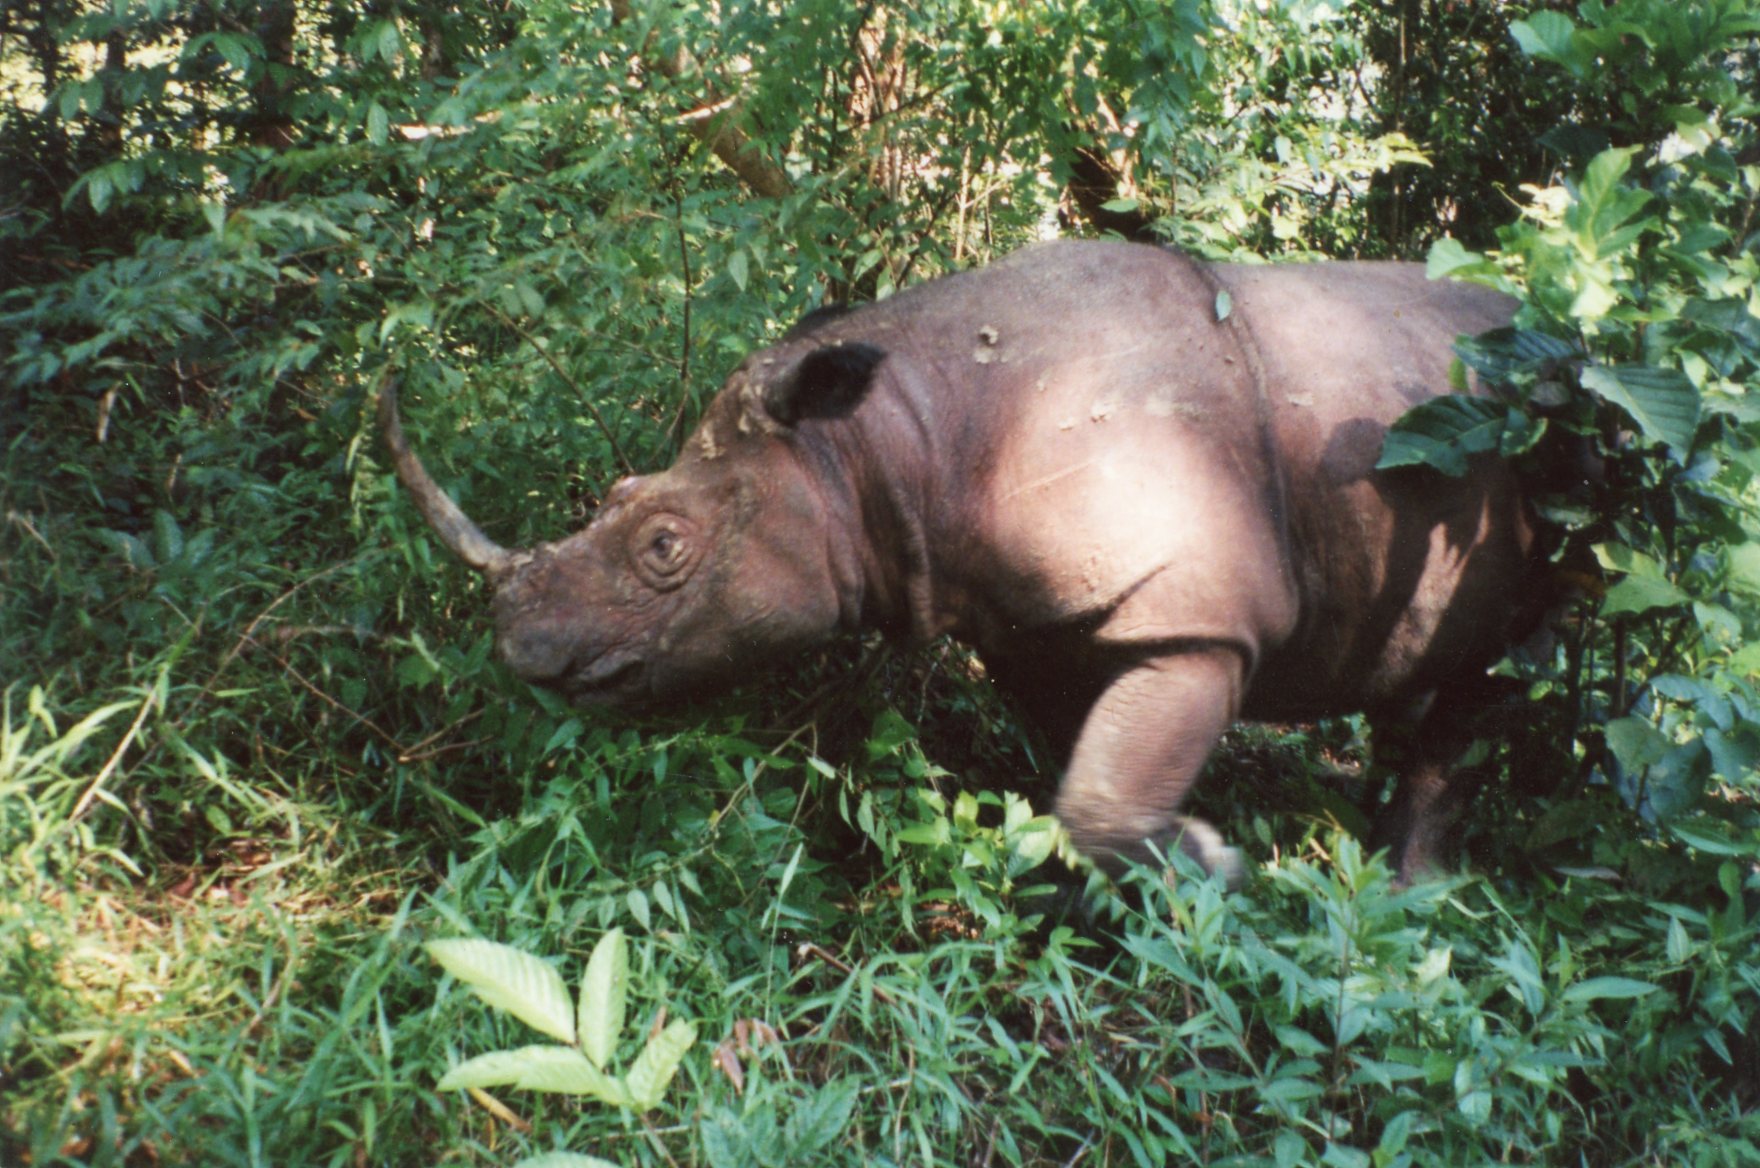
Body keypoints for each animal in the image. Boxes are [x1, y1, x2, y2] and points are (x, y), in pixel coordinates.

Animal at [378, 244, 1534, 886]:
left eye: (664, 547)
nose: (520, 648)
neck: (875, 444)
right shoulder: (1031, 618)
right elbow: (1083, 775)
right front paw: (1117, 873)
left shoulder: (1192, 610)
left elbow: (1102, 792)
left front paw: (1208, 864)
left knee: (1503, 663)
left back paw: (1411, 894)